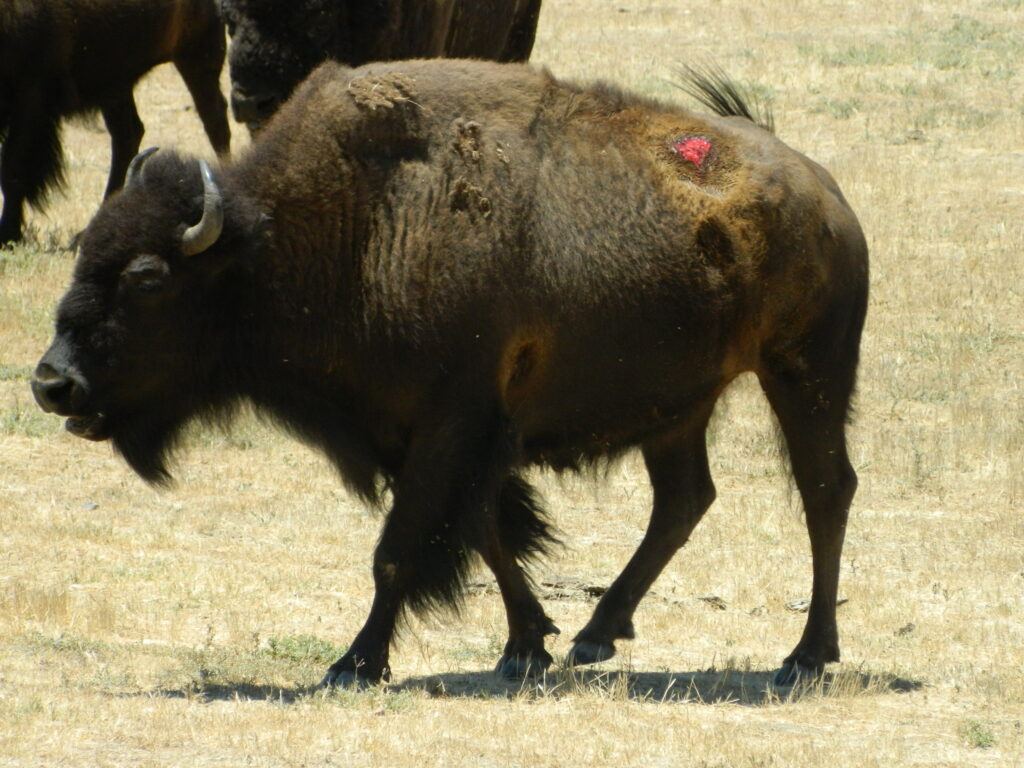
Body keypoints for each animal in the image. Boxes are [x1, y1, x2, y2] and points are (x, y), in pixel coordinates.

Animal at [32, 58, 868, 684]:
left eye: (147, 277)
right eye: (87, 252)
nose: (51, 383)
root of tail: (826, 192)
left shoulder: (450, 425)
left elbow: (401, 548)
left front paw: (355, 663)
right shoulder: (430, 436)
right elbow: (486, 533)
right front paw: (526, 646)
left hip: (804, 373)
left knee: (825, 490)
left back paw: (805, 656)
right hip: (679, 406)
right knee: (684, 500)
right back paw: (598, 634)